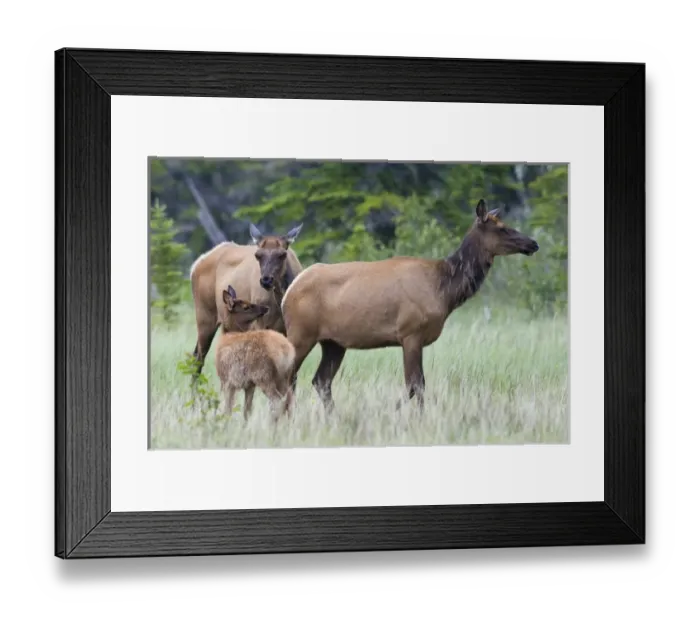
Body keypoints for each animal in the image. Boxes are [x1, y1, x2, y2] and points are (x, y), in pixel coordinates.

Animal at [189, 223, 304, 379]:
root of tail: (195, 265)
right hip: (204, 315)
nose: (266, 280)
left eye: (282, 254)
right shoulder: (261, 323)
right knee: (198, 357)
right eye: (258, 255)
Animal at [215, 285, 296, 421]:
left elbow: (227, 408)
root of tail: (286, 351)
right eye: (245, 307)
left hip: (264, 375)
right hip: (283, 377)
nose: (265, 308)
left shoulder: (226, 380)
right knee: (290, 399)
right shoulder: (249, 385)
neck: (227, 335)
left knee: (277, 401)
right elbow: (247, 410)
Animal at [280, 199, 539, 413]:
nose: (533, 243)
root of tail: (288, 292)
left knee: (320, 381)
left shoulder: (416, 338)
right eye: (502, 228)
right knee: (289, 375)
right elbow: (416, 385)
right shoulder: (411, 332)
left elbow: (417, 384)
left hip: (334, 342)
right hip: (302, 333)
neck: (445, 291)